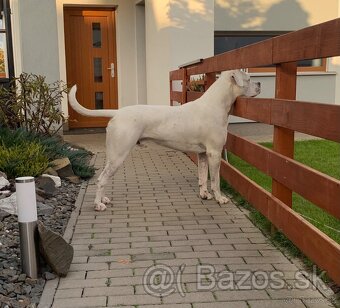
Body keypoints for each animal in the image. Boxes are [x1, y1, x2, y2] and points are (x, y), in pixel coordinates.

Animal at [68, 70, 260, 211]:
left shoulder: (203, 154)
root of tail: (118, 112)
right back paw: (98, 204)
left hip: (112, 155)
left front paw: (204, 195)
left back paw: (104, 199)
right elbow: (215, 180)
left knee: (104, 177)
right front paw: (220, 198)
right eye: (249, 79)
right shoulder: (214, 153)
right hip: (118, 155)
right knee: (101, 179)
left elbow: (203, 176)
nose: (259, 84)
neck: (215, 103)